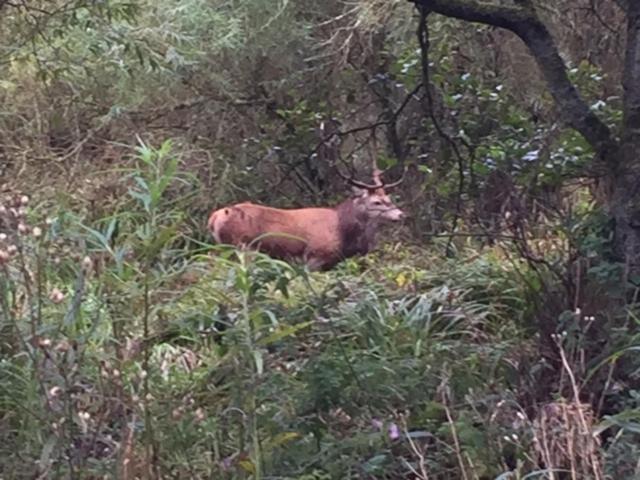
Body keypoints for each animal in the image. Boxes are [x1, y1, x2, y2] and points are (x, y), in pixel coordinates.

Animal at [208, 168, 408, 270]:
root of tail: (214, 218)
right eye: (376, 202)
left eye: (388, 198)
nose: (401, 214)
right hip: (243, 247)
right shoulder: (315, 256)